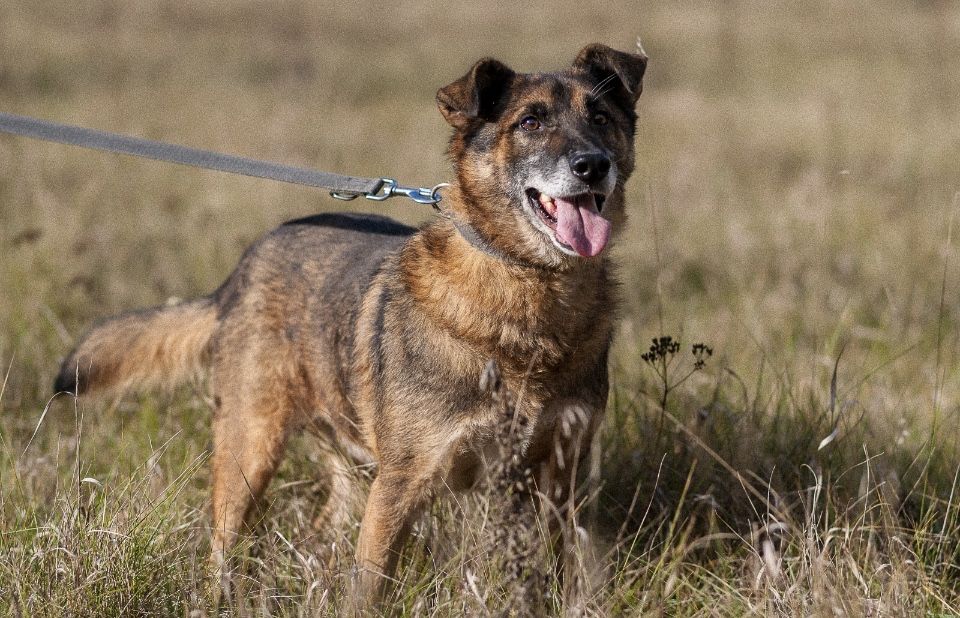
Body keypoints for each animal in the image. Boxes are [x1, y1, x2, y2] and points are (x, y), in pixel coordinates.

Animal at [56, 43, 648, 600]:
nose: (592, 165)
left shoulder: (560, 474)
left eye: (600, 116)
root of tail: (244, 267)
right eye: (530, 122)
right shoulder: (403, 482)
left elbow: (559, 570)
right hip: (251, 447)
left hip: (344, 456)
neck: (529, 291)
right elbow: (371, 587)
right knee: (223, 541)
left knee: (323, 527)